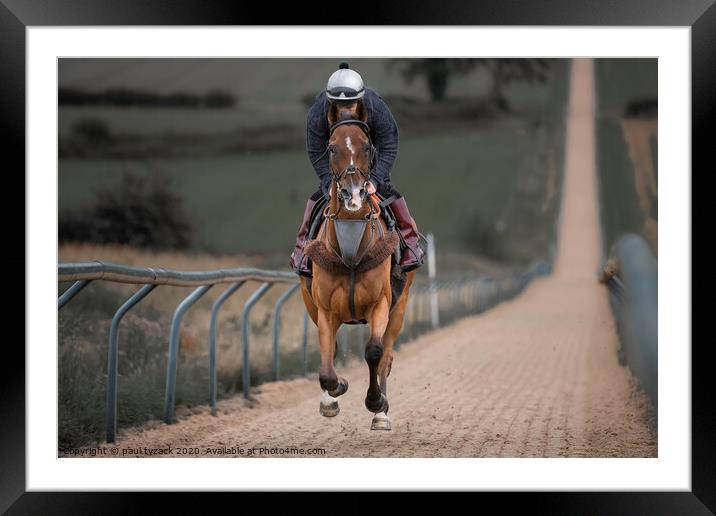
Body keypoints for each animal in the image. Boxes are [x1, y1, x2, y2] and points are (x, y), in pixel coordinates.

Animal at [300, 101, 416, 432]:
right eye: (331, 147)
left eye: (366, 146)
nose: (353, 194)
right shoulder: (324, 308)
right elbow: (327, 363)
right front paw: (335, 391)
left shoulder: (381, 302)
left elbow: (374, 352)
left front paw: (376, 403)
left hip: (399, 306)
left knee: (386, 355)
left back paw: (382, 413)